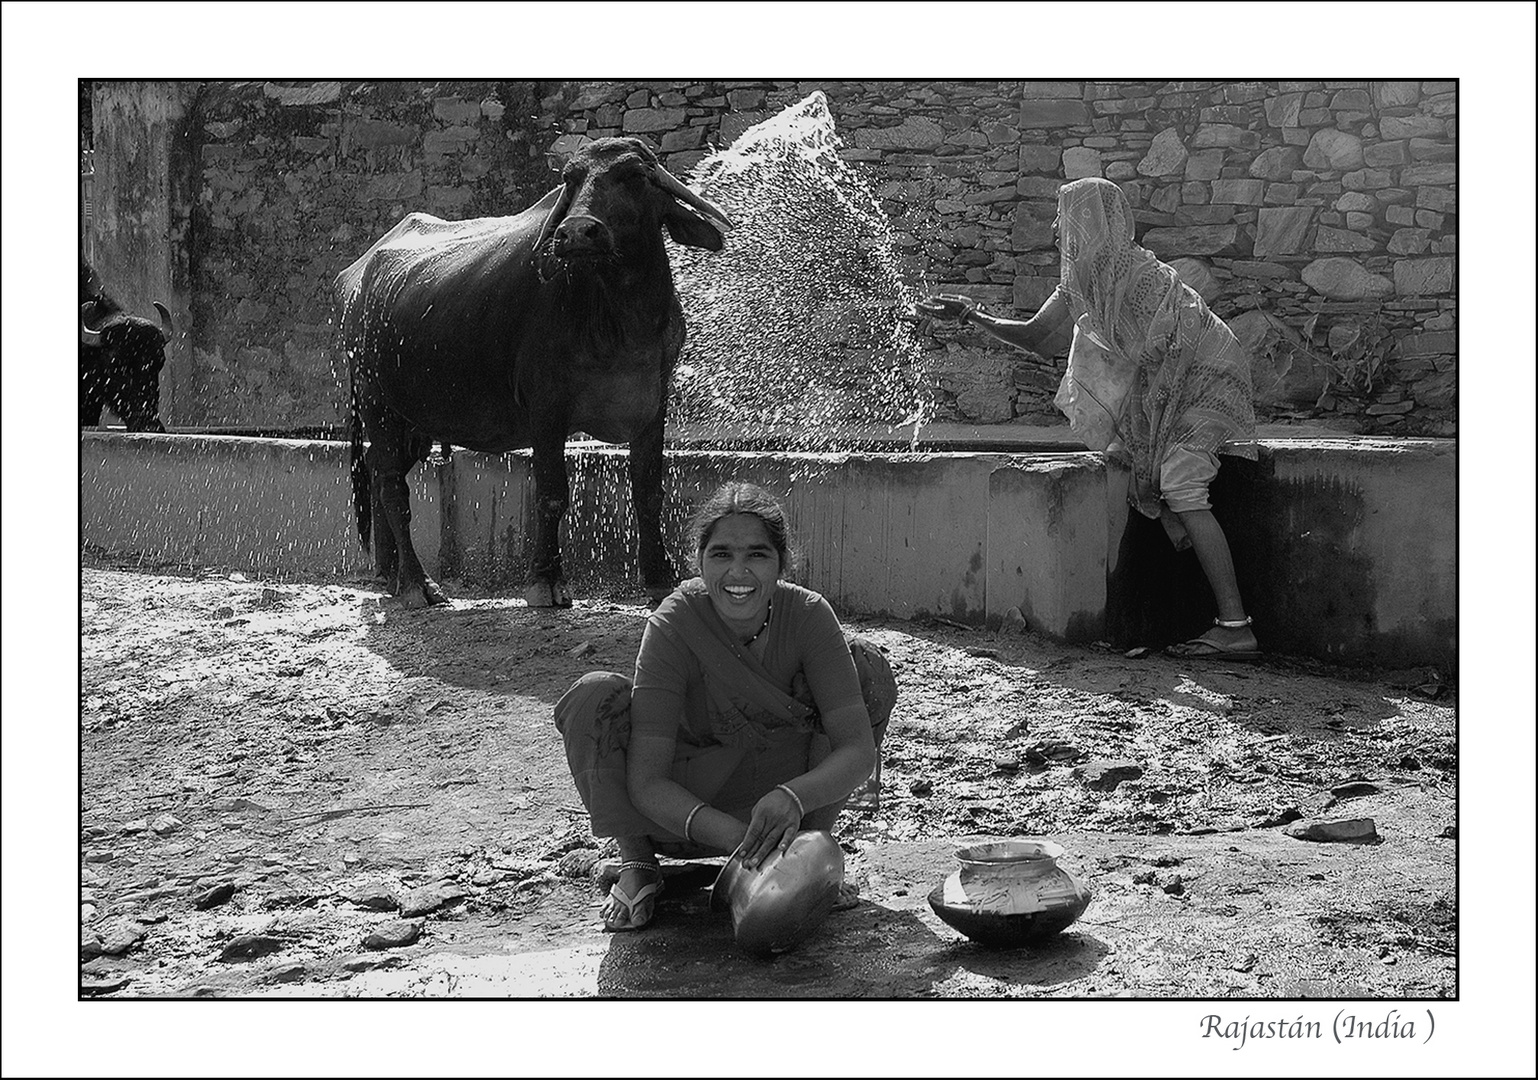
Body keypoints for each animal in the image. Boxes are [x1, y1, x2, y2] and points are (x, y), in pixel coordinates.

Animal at [339, 137, 735, 609]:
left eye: (636, 175)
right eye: (571, 178)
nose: (576, 232)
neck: (620, 320)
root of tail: (356, 279)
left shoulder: (653, 403)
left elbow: (649, 492)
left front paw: (659, 578)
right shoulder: (547, 406)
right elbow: (551, 493)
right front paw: (546, 580)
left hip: (412, 420)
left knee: (384, 478)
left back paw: (393, 578)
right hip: (375, 401)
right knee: (391, 488)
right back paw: (420, 585)